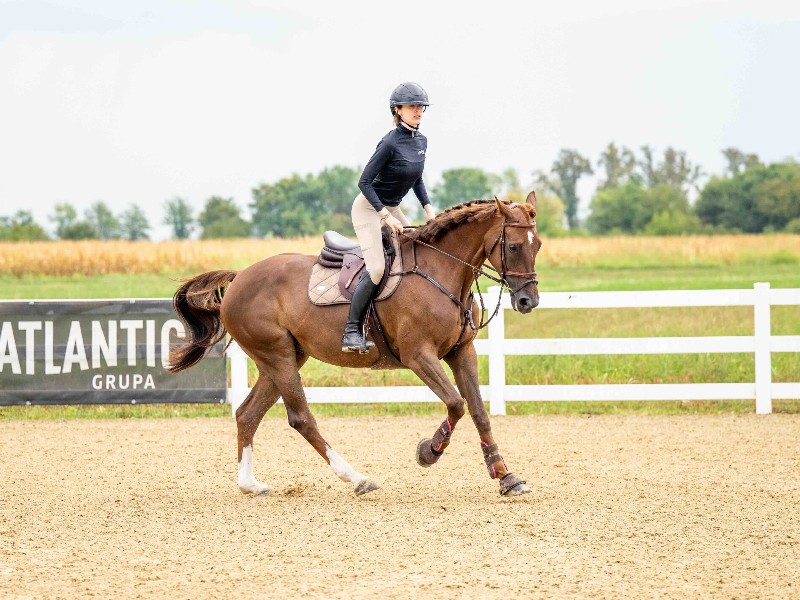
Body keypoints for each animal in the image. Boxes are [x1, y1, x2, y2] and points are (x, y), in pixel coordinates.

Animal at [167, 193, 542, 497]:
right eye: (513, 246)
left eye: (536, 244)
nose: (528, 301)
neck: (442, 271)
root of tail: (238, 278)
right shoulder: (419, 356)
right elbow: (456, 403)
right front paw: (428, 452)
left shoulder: (461, 352)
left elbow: (478, 411)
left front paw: (505, 476)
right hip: (277, 356)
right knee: (301, 418)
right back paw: (357, 478)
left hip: (283, 358)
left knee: (247, 414)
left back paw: (250, 485)